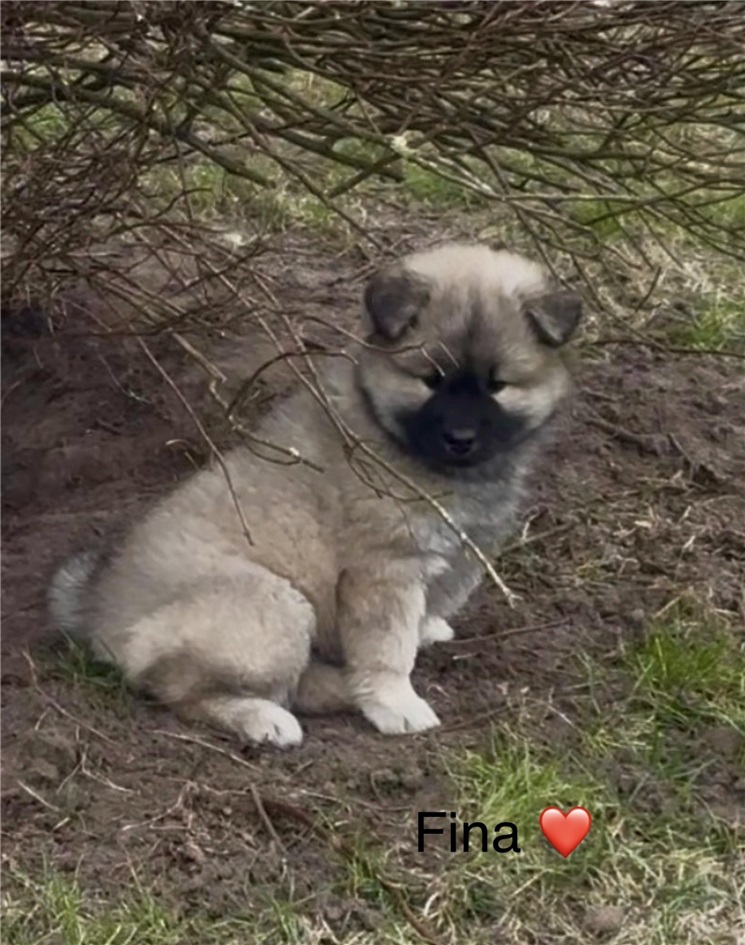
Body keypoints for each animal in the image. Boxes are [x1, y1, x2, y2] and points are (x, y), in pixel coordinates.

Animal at [49, 243, 582, 747]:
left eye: (498, 384)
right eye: (431, 379)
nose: (461, 438)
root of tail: (99, 614)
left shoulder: (455, 554)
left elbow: (423, 614)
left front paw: (425, 634)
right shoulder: (384, 569)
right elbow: (388, 649)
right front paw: (395, 703)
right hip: (273, 607)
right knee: (179, 688)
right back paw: (263, 719)